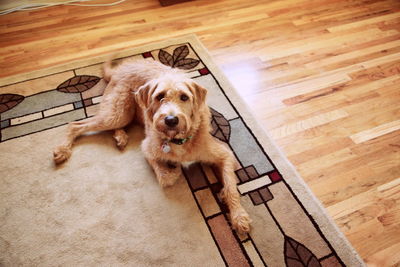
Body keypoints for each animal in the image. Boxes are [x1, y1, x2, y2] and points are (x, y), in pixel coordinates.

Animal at [54, 58, 250, 232]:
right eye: (160, 96)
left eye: (184, 97)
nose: (171, 120)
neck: (178, 139)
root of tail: (121, 69)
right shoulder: (147, 148)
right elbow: (165, 177)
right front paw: (174, 171)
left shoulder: (224, 155)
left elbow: (231, 186)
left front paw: (238, 216)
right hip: (117, 113)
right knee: (75, 125)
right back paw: (63, 150)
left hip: (121, 114)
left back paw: (120, 137)